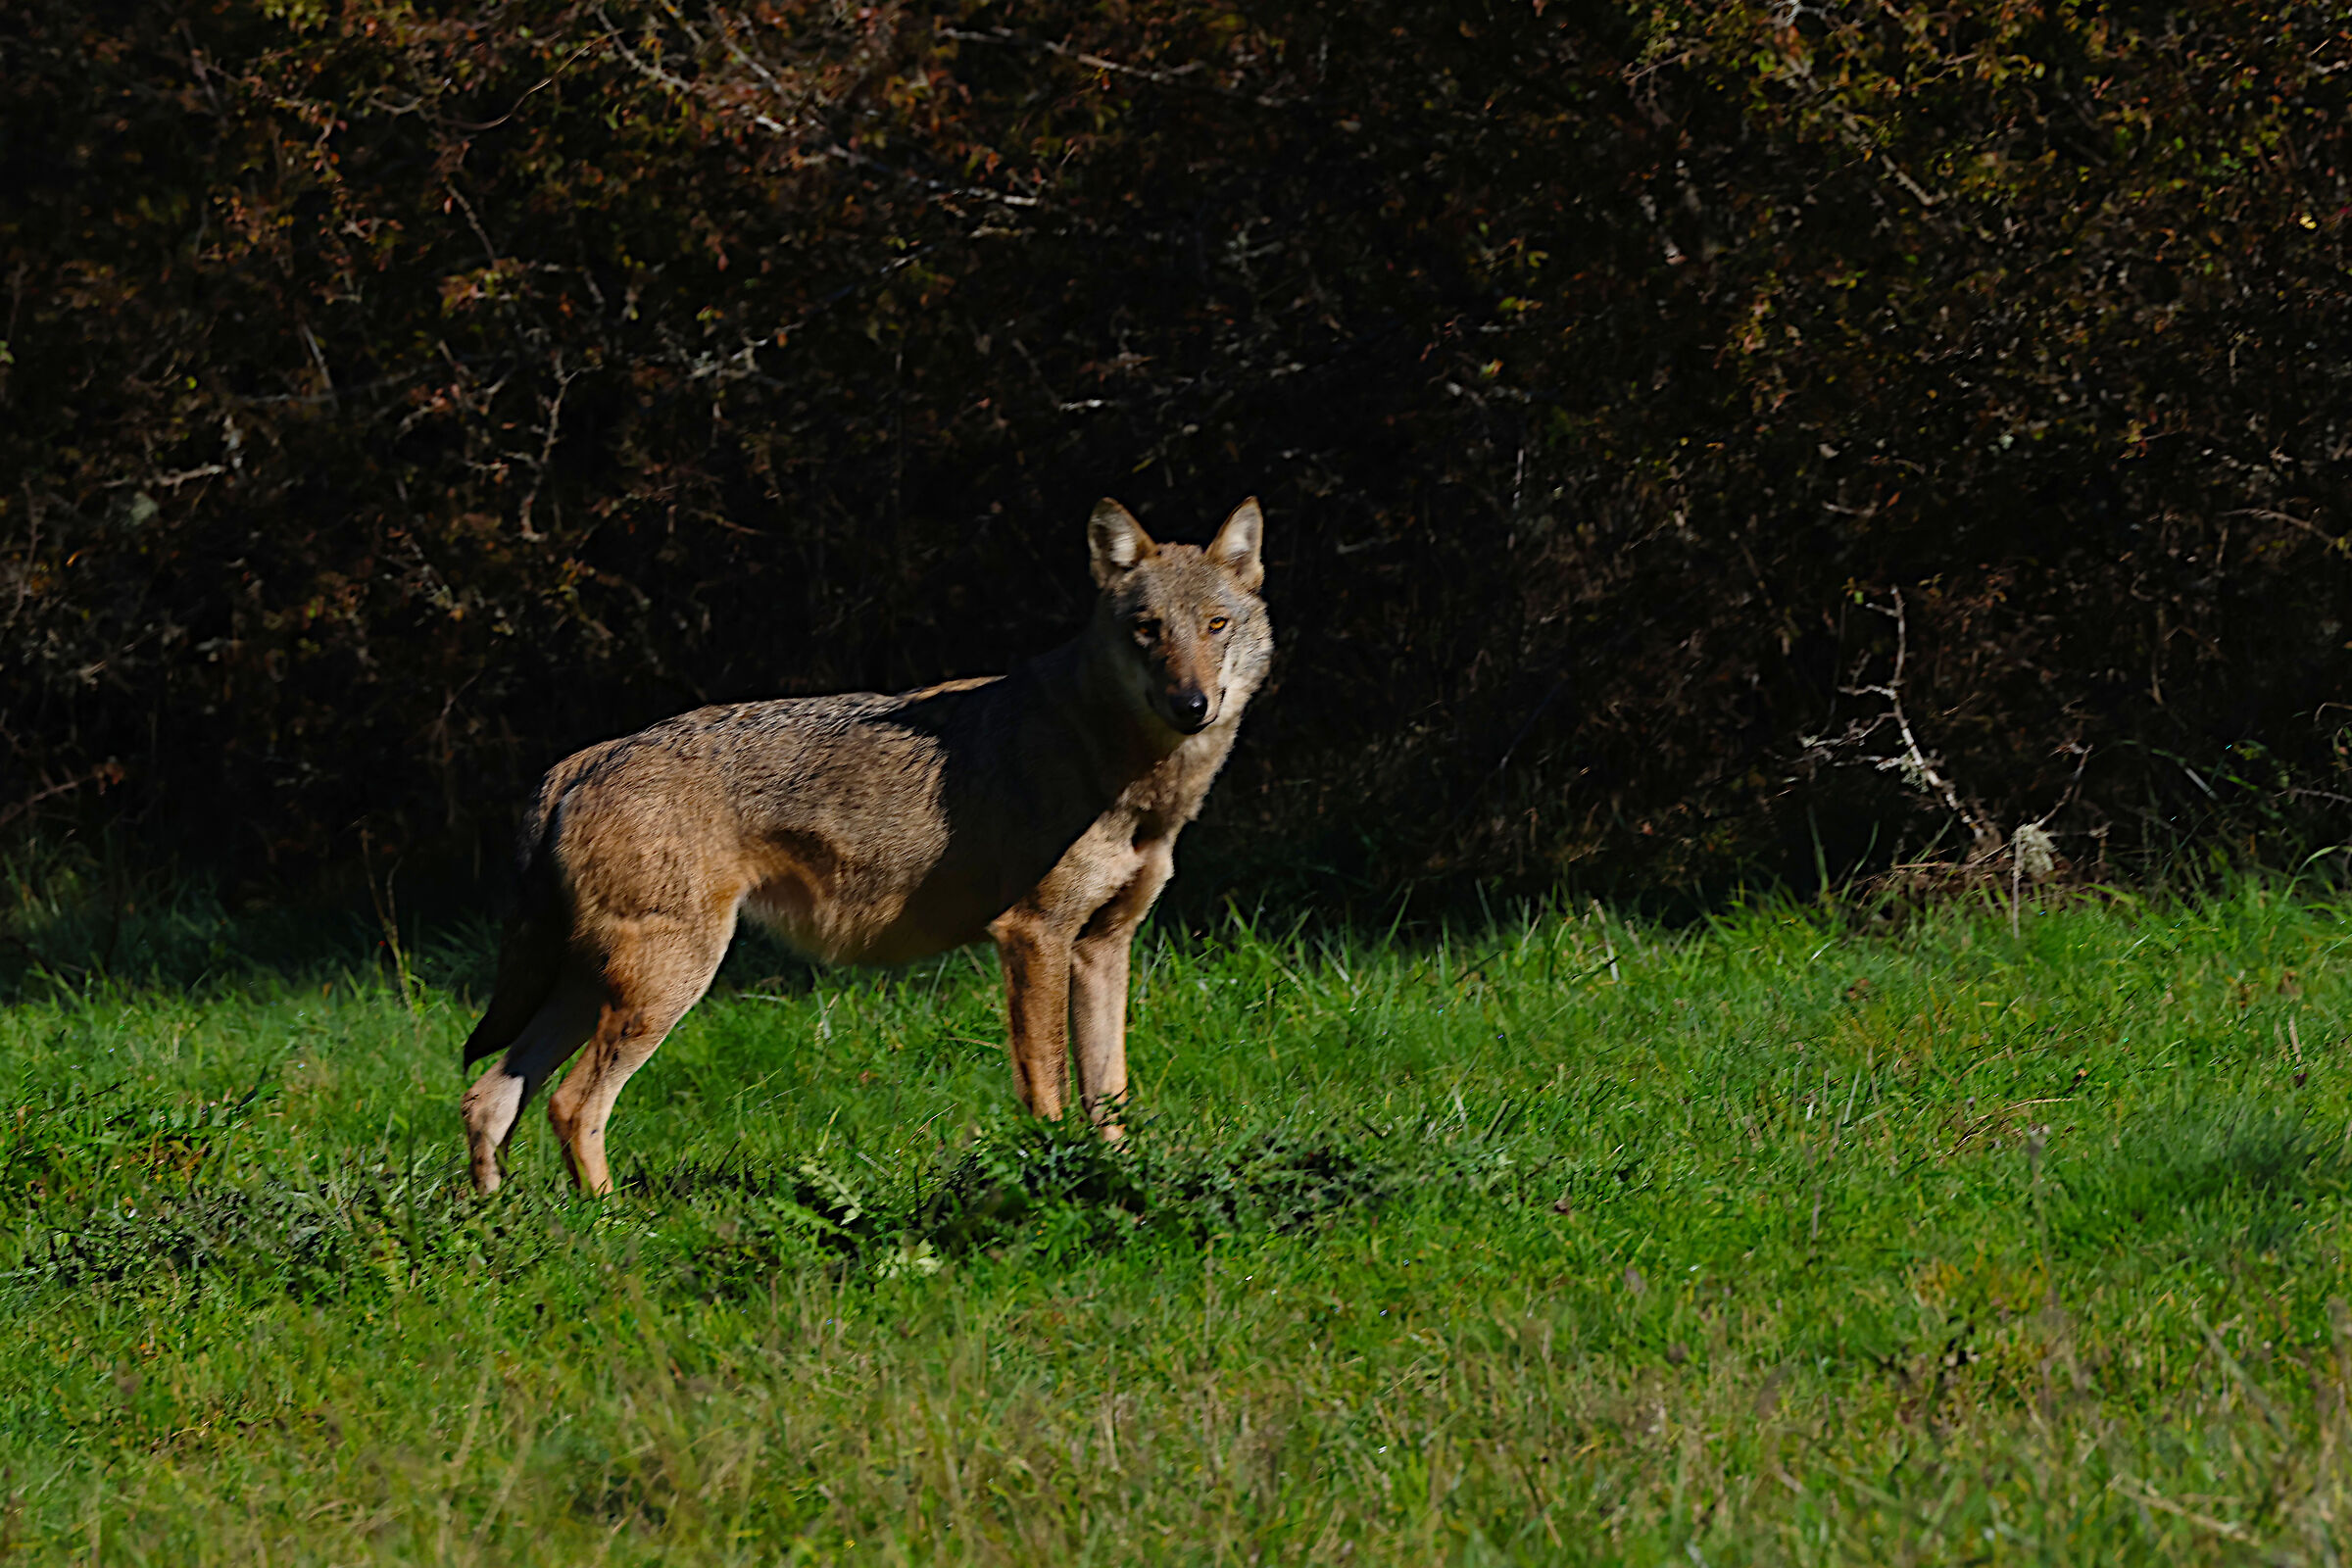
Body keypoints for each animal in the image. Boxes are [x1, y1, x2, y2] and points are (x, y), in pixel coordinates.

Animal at [458, 497, 1272, 1194]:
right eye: (1147, 628)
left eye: (1216, 625)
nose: (1192, 704)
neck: (1127, 777)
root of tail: (581, 760)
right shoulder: (1033, 937)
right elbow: (1048, 1091)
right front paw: (1055, 1178)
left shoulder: (1103, 947)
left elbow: (1110, 1095)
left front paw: (1117, 1181)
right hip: (661, 987)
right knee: (570, 1105)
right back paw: (614, 1223)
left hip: (594, 991)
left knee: (488, 1097)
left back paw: (500, 1222)